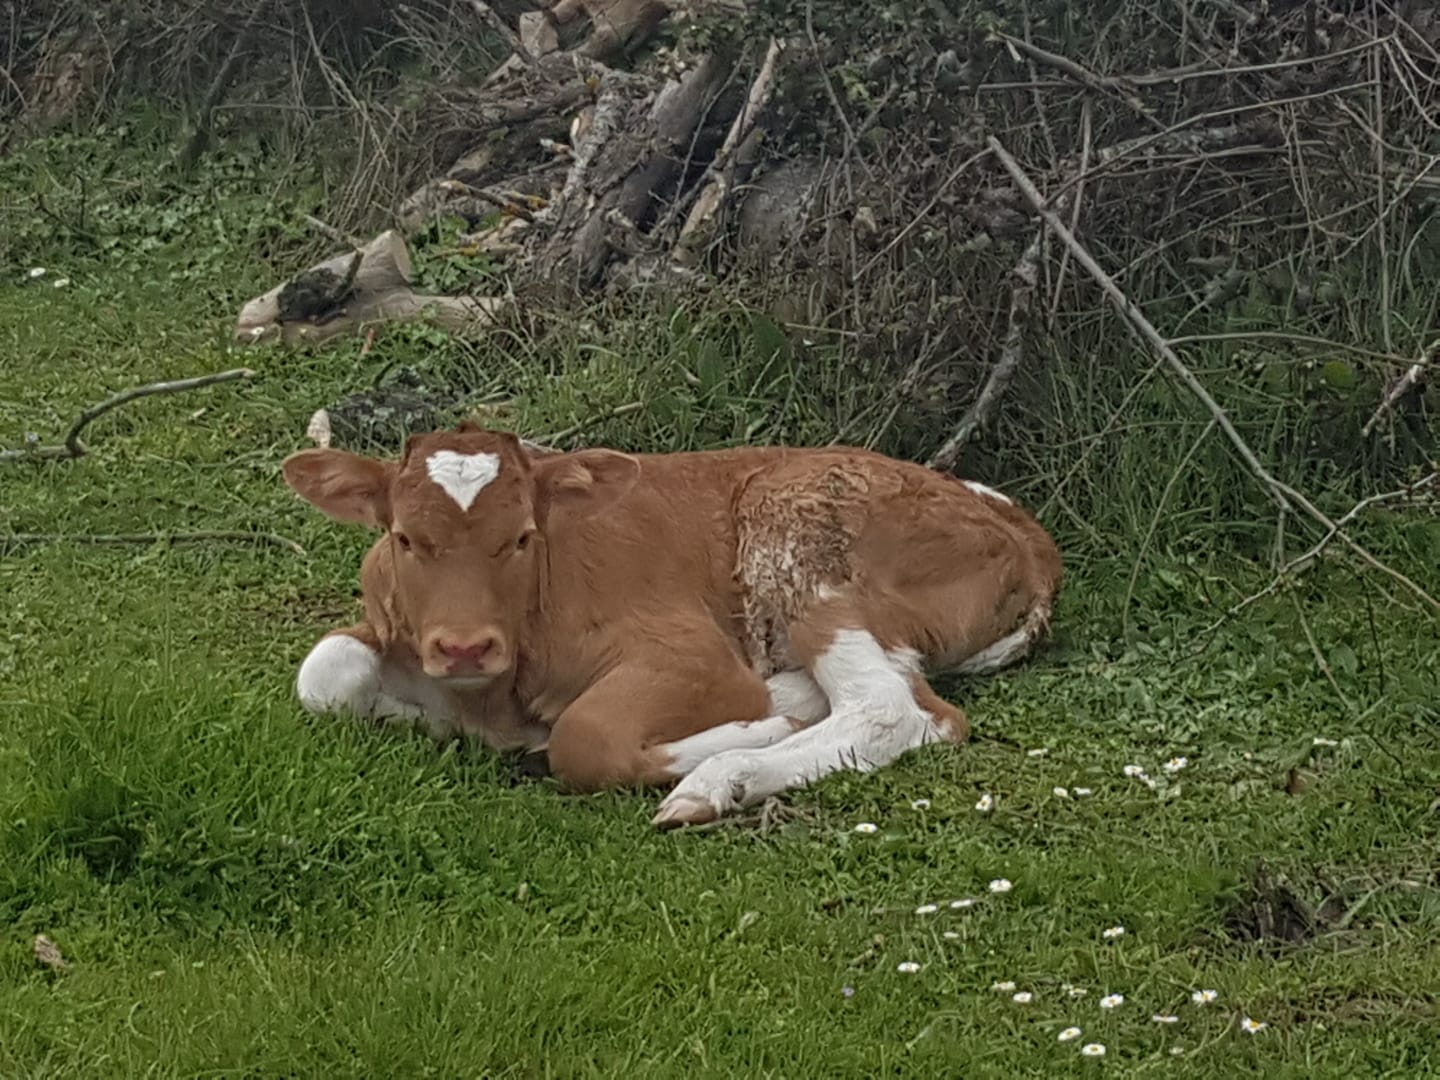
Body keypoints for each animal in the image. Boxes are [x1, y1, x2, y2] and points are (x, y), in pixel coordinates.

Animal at [282, 423, 1063, 827]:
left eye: (524, 537)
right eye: (405, 539)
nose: (466, 645)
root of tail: (1020, 530)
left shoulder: (691, 651)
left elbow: (586, 738)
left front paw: (752, 730)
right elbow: (322, 673)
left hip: (797, 531)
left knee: (894, 709)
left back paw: (725, 774)